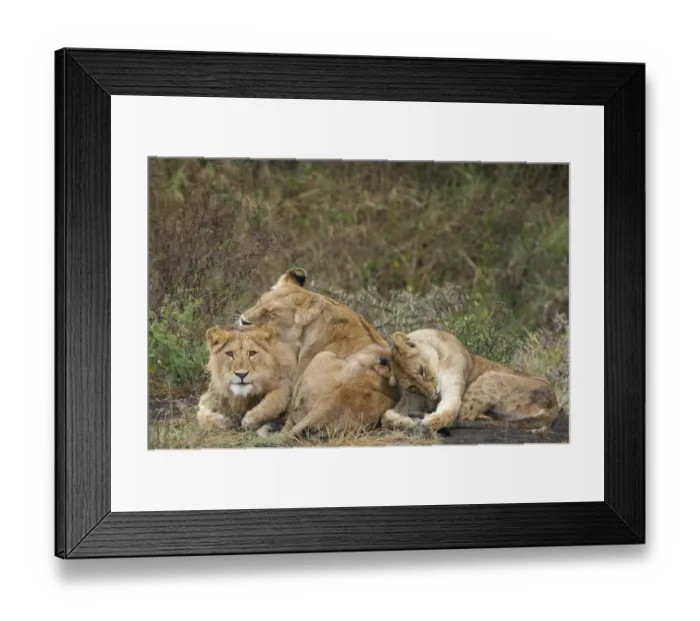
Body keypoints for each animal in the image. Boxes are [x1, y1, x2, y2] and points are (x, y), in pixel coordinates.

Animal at [385, 328, 560, 433]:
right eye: (412, 386)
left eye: (422, 371)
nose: (433, 393)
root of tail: (554, 407)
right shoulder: (412, 400)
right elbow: (386, 417)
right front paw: (404, 421)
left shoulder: (453, 387)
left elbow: (450, 411)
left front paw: (430, 422)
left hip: (490, 378)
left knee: (463, 416)